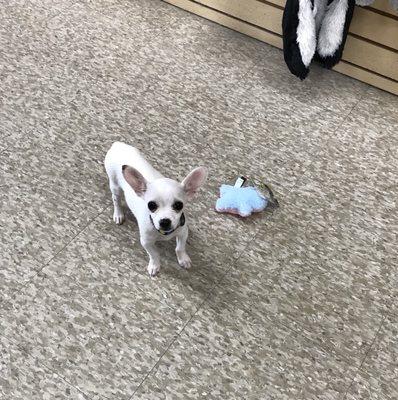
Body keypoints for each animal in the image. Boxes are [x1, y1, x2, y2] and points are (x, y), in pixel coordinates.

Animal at [104, 142, 207, 276]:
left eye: (179, 205)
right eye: (151, 205)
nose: (165, 221)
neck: (164, 233)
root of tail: (117, 145)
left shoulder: (183, 233)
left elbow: (180, 248)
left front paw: (183, 259)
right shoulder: (146, 242)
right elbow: (154, 254)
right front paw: (154, 266)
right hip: (115, 185)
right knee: (116, 199)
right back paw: (118, 214)